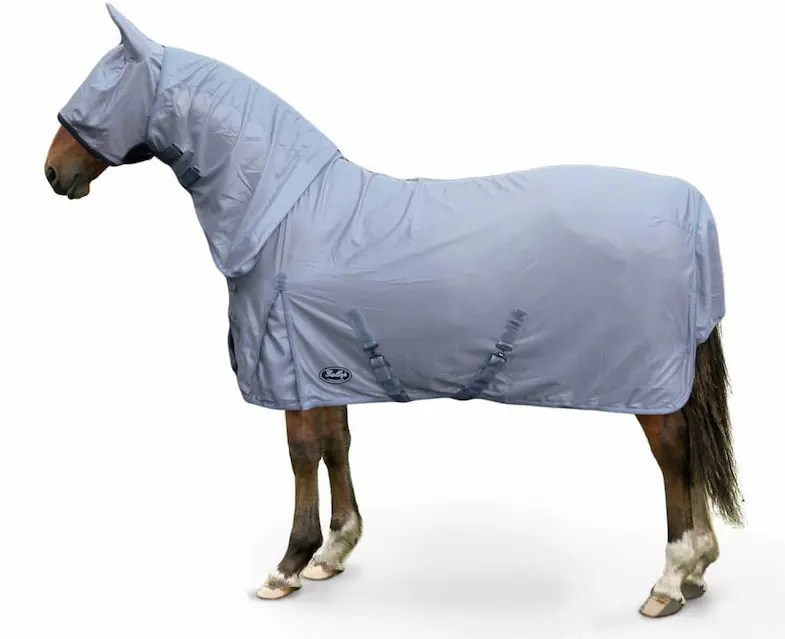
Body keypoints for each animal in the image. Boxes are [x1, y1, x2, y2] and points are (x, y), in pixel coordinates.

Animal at [44, 5, 742, 618]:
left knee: (674, 456)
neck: (285, 215)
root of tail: (694, 211)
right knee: (691, 452)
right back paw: (699, 568)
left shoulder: (293, 368)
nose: (53, 173)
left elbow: (302, 453)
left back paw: (669, 581)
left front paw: (288, 565)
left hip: (649, 383)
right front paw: (333, 552)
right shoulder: (328, 364)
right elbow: (336, 443)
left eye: (102, 86)